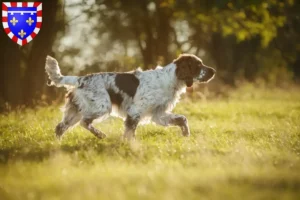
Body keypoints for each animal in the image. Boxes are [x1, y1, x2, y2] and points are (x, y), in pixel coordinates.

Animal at [45, 54, 216, 140]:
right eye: (198, 65)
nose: (213, 71)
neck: (170, 78)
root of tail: (80, 79)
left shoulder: (159, 114)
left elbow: (182, 119)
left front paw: (186, 134)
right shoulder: (135, 111)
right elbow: (130, 132)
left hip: (75, 111)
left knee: (60, 127)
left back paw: (58, 147)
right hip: (101, 107)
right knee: (84, 122)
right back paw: (100, 135)